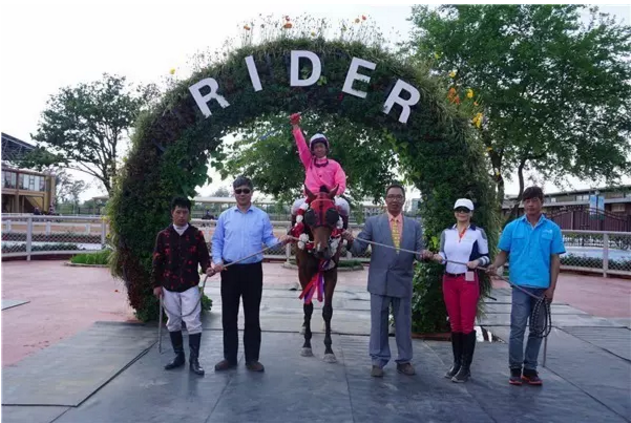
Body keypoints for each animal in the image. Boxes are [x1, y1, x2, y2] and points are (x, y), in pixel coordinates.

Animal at [292, 185, 344, 363]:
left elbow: (327, 310)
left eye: (333, 214)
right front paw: (306, 345)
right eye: (310, 215)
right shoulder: (303, 272)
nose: (321, 249)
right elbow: (307, 307)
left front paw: (329, 349)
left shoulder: (331, 273)